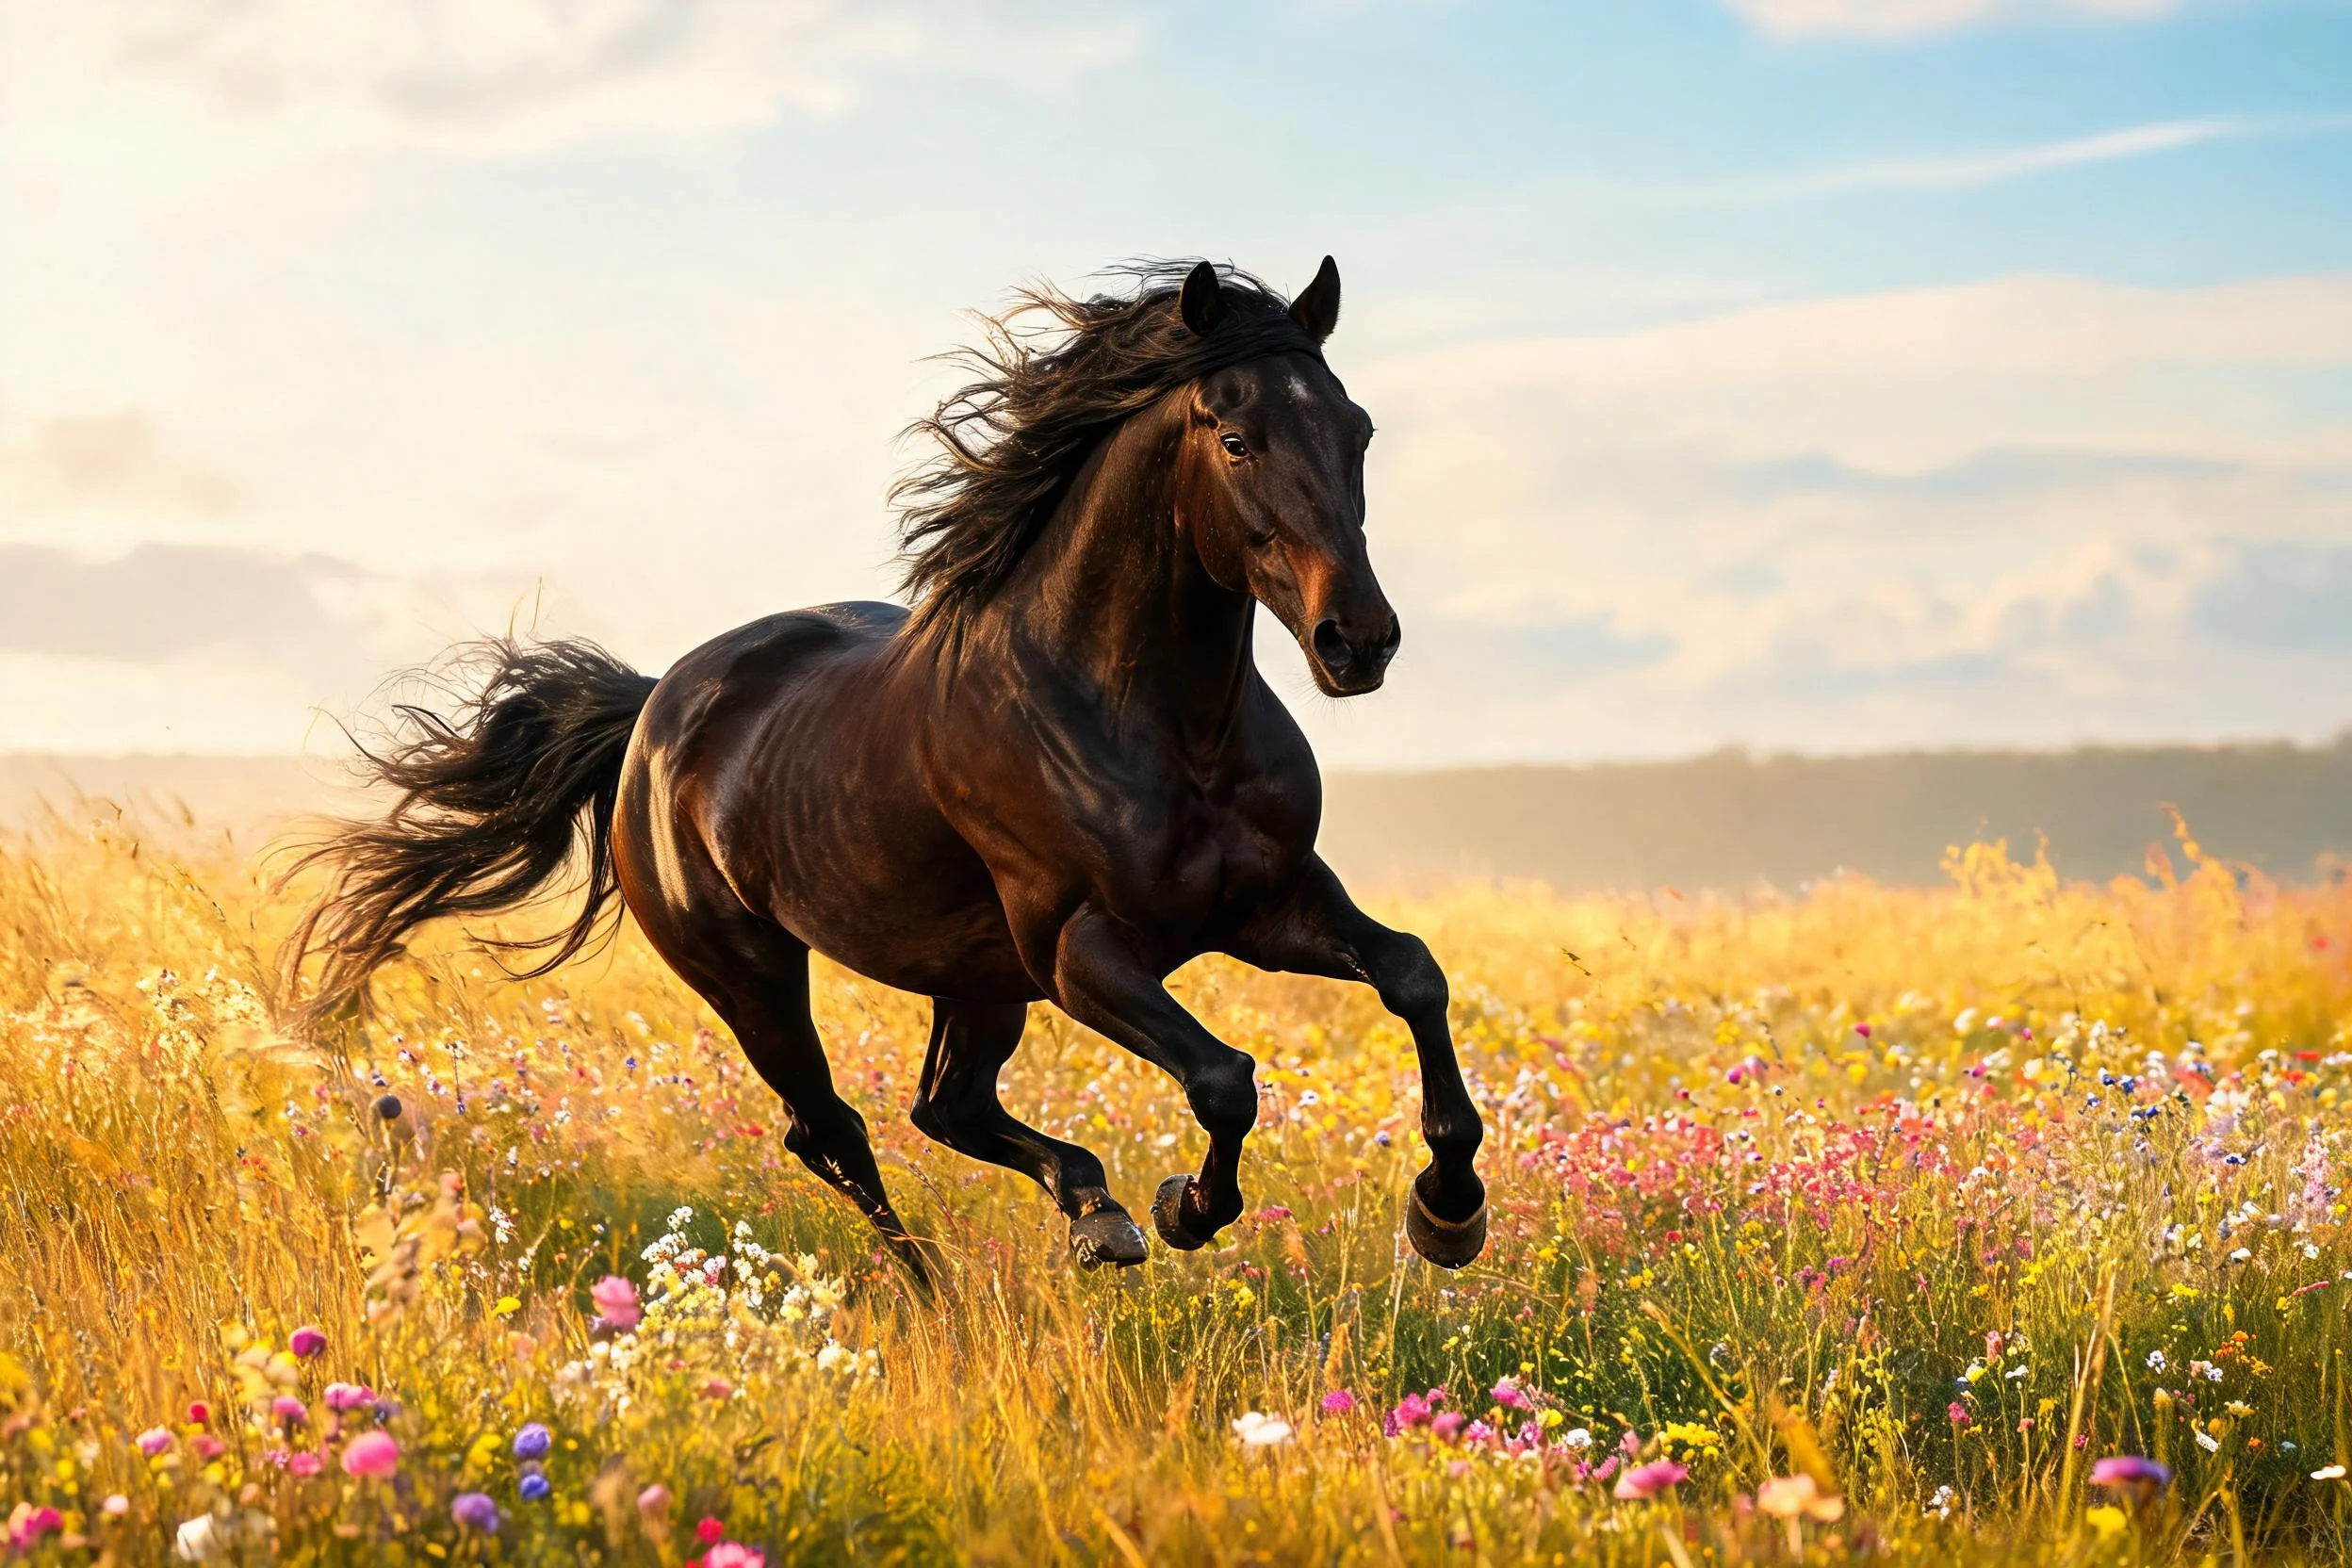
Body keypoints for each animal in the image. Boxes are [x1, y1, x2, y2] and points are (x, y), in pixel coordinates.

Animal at [287, 258, 1488, 1284]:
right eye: (1236, 438)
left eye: (1356, 428)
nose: (1357, 640)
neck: (1156, 725)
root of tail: (651, 712)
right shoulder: (1080, 948)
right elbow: (1224, 1077)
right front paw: (1191, 1205)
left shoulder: (1270, 901)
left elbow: (1413, 974)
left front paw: (1449, 1207)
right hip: (758, 975)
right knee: (833, 1129)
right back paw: (946, 1289)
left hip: (975, 976)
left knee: (943, 1107)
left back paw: (1092, 1210)